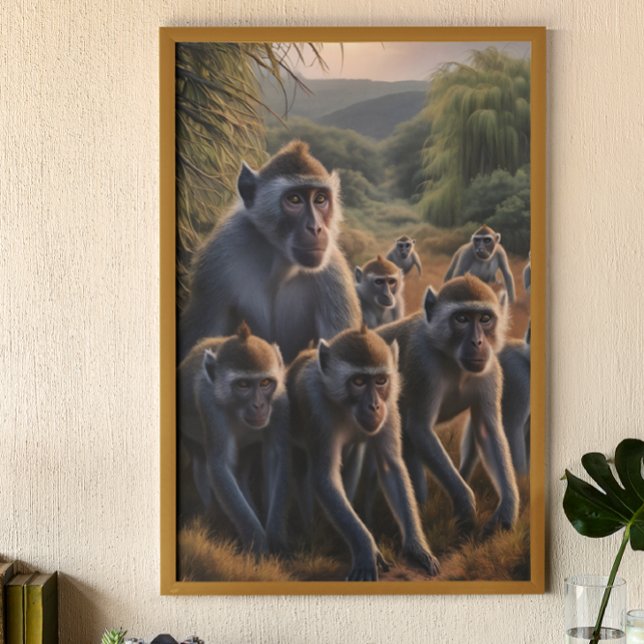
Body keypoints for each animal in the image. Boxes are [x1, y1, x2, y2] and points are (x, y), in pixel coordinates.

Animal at [178, 322, 289, 556]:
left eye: (265, 383)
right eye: (243, 385)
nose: (259, 405)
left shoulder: (279, 398)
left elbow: (276, 456)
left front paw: (277, 540)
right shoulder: (208, 402)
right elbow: (221, 465)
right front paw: (258, 546)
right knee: (202, 466)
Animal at [179, 140, 361, 363]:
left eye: (320, 199)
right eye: (294, 199)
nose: (316, 228)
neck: (279, 260)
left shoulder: (333, 277)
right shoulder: (219, 256)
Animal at [287, 325, 440, 581]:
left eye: (380, 381)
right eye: (358, 381)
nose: (374, 406)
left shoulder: (390, 406)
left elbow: (391, 467)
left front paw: (416, 547)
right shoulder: (315, 404)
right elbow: (325, 477)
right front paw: (367, 549)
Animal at [378, 275, 519, 533]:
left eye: (485, 318)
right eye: (461, 318)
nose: (477, 342)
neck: (452, 359)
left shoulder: (490, 370)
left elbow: (488, 432)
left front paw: (507, 508)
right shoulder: (422, 364)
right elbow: (420, 428)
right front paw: (464, 502)